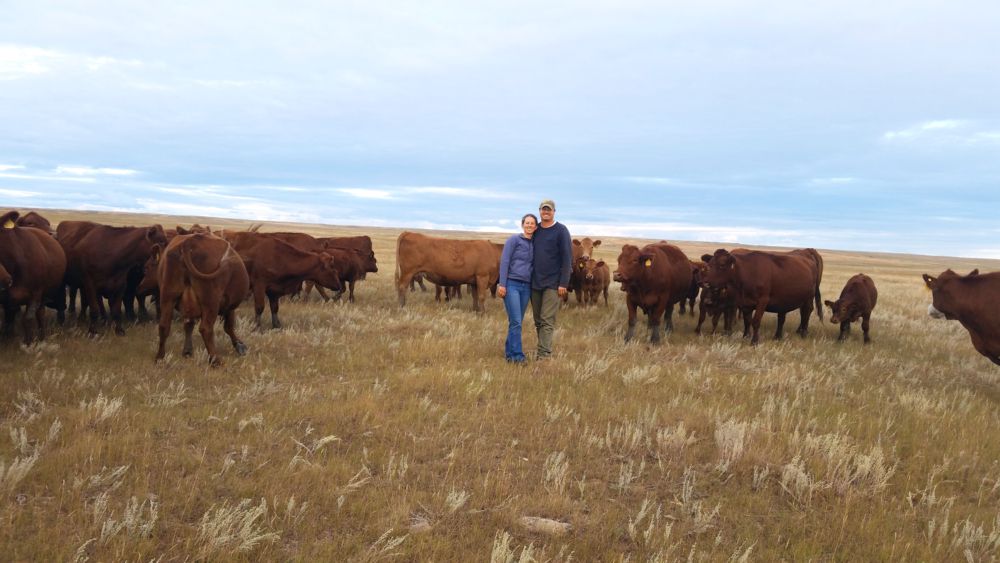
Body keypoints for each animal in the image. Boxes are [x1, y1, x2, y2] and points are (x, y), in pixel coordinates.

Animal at [0, 212, 68, 344]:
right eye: (30, 222)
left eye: (48, 222)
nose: (54, 234)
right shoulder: (6, 299)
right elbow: (8, 321)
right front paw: (7, 338)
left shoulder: (35, 294)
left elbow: (28, 319)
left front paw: (29, 343)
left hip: (44, 293)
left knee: (40, 314)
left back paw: (42, 337)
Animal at [146, 232, 252, 368]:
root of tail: (188, 243)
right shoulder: (229, 307)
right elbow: (229, 327)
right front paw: (240, 346)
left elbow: (188, 325)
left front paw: (187, 351)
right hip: (210, 301)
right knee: (206, 329)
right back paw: (216, 360)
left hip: (168, 297)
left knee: (164, 326)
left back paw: (159, 357)